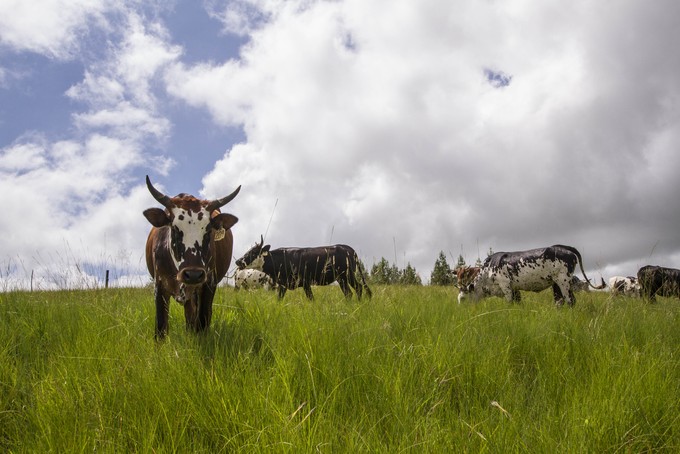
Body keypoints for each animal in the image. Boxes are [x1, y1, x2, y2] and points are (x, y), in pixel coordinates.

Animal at [142, 176, 240, 338]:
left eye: (208, 231)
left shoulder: (208, 284)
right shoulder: (159, 286)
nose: (193, 274)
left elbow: (202, 321)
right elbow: (161, 327)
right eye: (175, 229)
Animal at [234, 236, 372, 300]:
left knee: (357, 289)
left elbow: (311, 299)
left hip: (347, 275)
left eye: (252, 253)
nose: (237, 261)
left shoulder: (305, 283)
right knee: (351, 291)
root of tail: (346, 247)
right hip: (342, 278)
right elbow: (279, 299)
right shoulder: (283, 285)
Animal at [456, 243, 604, 306]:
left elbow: (510, 303)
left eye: (463, 299)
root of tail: (562, 247)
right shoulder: (515, 290)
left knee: (570, 301)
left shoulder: (506, 286)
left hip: (564, 281)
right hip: (556, 283)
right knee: (559, 302)